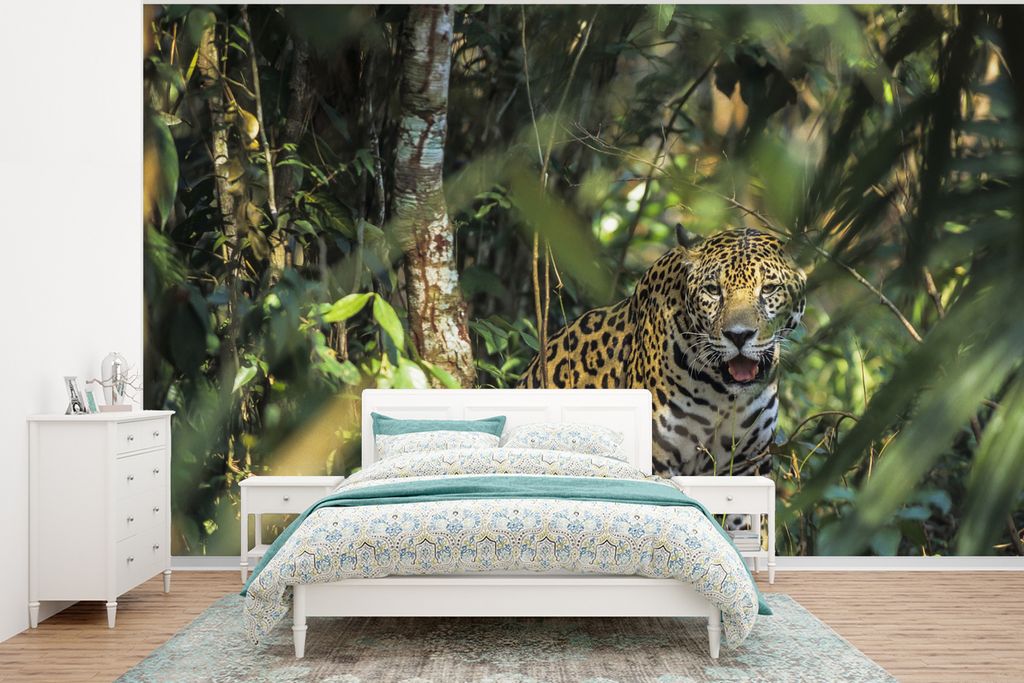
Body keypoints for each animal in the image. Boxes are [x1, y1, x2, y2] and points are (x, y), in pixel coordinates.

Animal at [518, 227, 806, 481]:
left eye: (769, 288)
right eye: (713, 290)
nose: (738, 335)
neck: (724, 395)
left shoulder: (749, 463)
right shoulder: (658, 457)